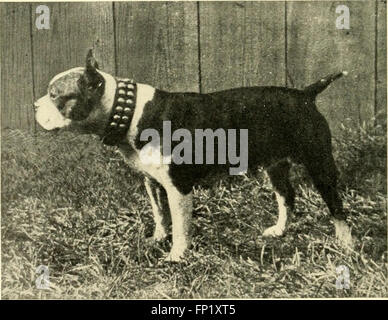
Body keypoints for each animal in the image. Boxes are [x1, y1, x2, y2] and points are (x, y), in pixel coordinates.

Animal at [34, 48, 354, 262]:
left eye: (55, 95)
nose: (35, 105)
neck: (128, 110)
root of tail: (306, 94)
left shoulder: (179, 187)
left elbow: (180, 225)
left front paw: (176, 256)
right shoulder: (153, 183)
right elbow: (160, 214)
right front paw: (157, 239)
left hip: (319, 164)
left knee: (336, 206)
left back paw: (346, 243)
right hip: (275, 166)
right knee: (287, 196)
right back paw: (279, 230)